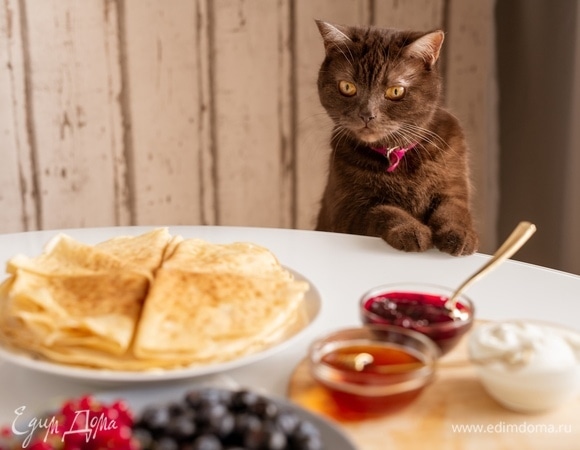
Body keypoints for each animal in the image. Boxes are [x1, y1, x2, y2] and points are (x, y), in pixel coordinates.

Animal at [314, 20, 478, 256]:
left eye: (395, 91)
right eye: (347, 87)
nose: (367, 114)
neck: (397, 155)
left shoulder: (453, 188)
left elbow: (453, 210)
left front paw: (459, 235)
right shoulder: (347, 211)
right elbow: (384, 210)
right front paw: (411, 230)